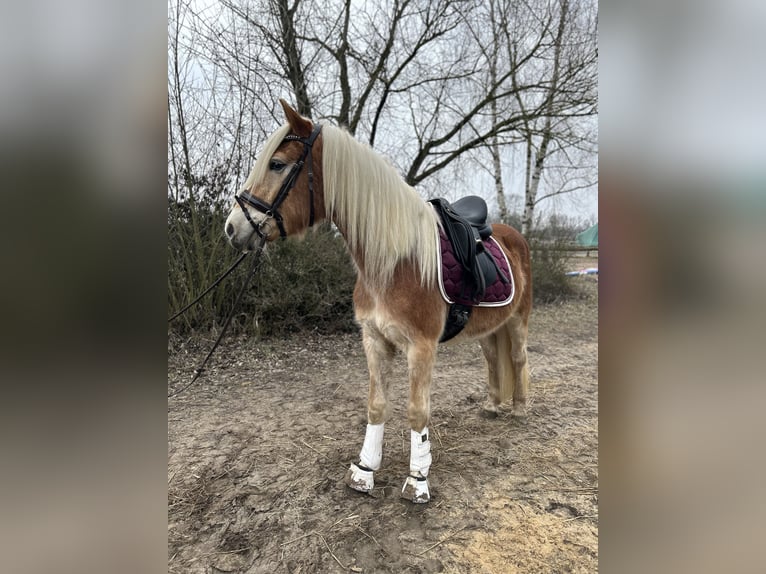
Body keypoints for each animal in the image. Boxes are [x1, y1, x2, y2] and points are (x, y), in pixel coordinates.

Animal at [225, 101, 532, 506]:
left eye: (276, 164)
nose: (232, 227)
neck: (394, 262)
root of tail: (513, 234)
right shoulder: (374, 340)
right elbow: (376, 406)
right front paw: (364, 471)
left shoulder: (421, 347)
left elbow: (417, 412)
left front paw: (417, 480)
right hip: (488, 329)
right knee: (495, 358)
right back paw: (494, 406)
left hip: (518, 320)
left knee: (517, 358)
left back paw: (520, 410)